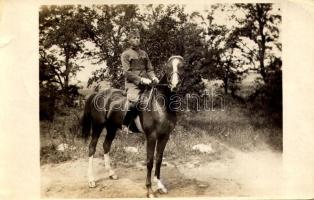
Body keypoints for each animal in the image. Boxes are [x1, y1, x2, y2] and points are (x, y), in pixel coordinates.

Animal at [81, 55, 185, 198]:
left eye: (182, 66)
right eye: (168, 67)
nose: (174, 85)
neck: (160, 103)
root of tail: (97, 94)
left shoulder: (165, 136)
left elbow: (159, 159)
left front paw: (160, 186)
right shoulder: (151, 137)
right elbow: (149, 161)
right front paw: (149, 190)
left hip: (111, 128)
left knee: (106, 146)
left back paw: (111, 174)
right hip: (97, 127)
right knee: (92, 148)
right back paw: (91, 180)